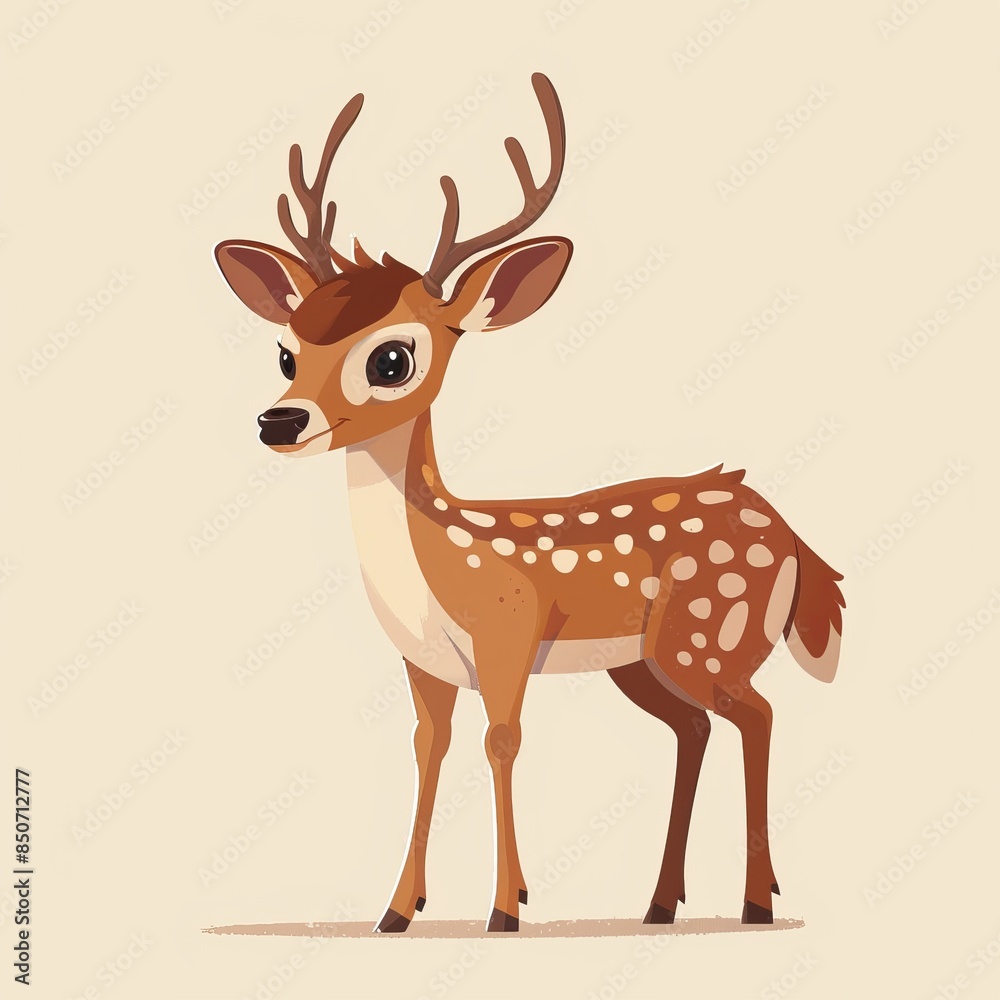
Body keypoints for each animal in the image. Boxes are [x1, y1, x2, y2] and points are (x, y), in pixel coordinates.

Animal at [213, 73, 846, 934]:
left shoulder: (508, 633)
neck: (438, 563)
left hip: (708, 633)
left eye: (391, 358)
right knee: (695, 726)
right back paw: (659, 904)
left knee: (759, 714)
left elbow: (503, 740)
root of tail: (792, 538)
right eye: (286, 351)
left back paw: (752, 902)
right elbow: (429, 746)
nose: (279, 422)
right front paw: (396, 912)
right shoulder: (423, 662)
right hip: (643, 661)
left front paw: (505, 908)